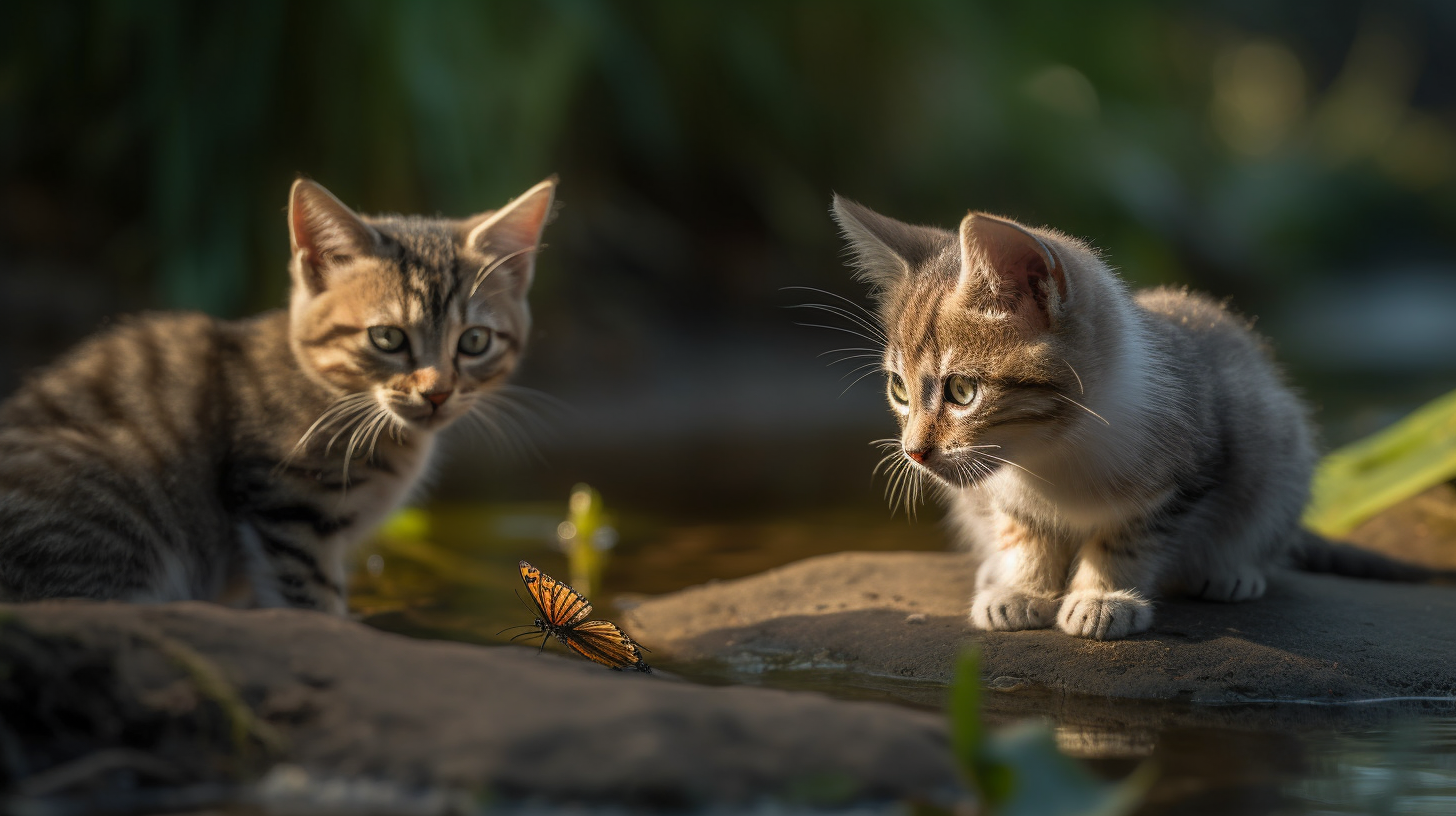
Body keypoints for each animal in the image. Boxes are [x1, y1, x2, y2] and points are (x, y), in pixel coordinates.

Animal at [832, 196, 1432, 638]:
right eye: (899, 389)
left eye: (961, 390)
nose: (913, 451)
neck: (1052, 450)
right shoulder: (999, 492)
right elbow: (1022, 529)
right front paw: (1024, 588)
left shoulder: (1192, 467)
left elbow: (1128, 534)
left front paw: (1101, 596)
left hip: (1282, 444)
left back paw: (1233, 571)